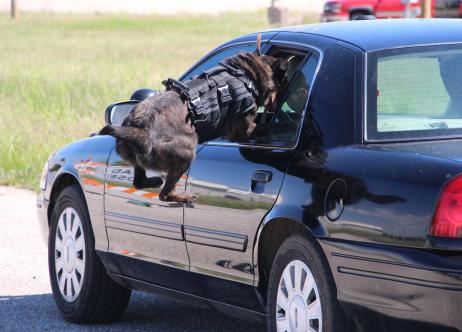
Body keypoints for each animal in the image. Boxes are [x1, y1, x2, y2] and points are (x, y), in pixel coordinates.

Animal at [101, 42, 288, 202]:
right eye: (283, 82)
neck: (248, 74)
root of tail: (141, 130)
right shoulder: (245, 129)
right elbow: (262, 126)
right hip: (186, 152)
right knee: (165, 194)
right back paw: (183, 197)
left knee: (139, 182)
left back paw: (153, 181)